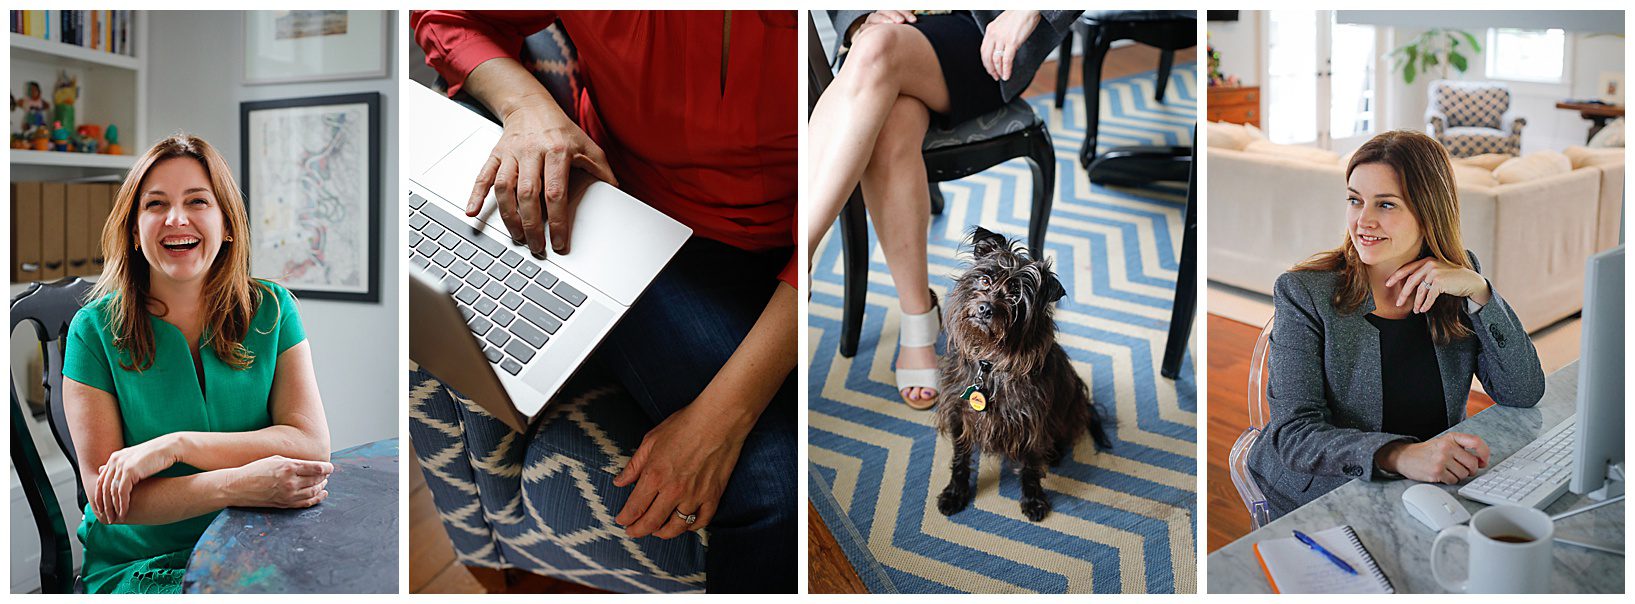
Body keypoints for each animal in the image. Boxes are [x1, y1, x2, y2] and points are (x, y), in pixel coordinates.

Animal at [935, 225, 1111, 517]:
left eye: (1016, 297)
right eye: (985, 280)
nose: (985, 308)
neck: (990, 364)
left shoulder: (1031, 422)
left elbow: (1030, 465)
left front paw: (1033, 499)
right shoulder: (960, 414)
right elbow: (960, 458)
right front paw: (955, 493)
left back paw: (1055, 453)